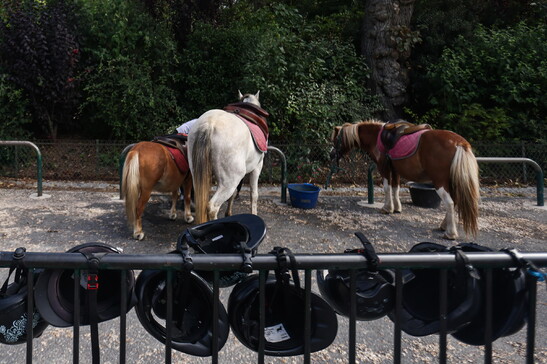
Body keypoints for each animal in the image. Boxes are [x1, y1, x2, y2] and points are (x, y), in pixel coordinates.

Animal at [189, 91, 268, 223]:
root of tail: (209, 124)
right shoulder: (257, 167)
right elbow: (254, 194)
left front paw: (228, 213)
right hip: (230, 181)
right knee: (212, 207)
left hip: (197, 175)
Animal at [330, 119, 480, 239]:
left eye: (336, 140)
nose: (331, 155)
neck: (377, 137)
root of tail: (459, 143)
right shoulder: (396, 170)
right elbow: (395, 188)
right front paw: (397, 208)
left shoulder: (384, 168)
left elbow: (387, 188)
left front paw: (387, 208)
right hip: (451, 182)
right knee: (454, 202)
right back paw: (444, 225)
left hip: (440, 182)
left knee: (449, 203)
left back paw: (450, 233)